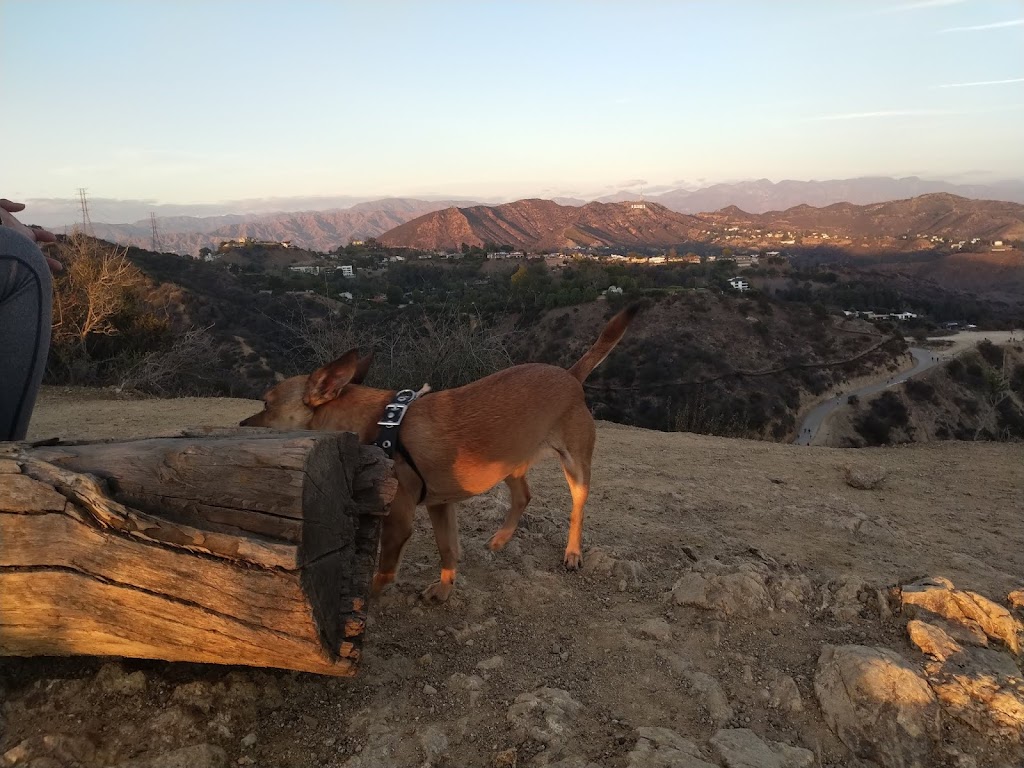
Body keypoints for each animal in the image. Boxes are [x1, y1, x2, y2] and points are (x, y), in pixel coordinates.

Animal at [241, 303, 638, 606]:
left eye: (267, 403)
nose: (242, 423)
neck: (381, 424)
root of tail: (570, 375)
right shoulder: (440, 506)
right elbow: (448, 550)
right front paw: (446, 589)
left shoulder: (399, 521)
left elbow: (383, 573)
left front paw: (365, 600)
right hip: (508, 463)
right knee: (524, 496)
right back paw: (501, 538)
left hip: (576, 467)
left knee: (577, 509)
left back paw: (572, 552)